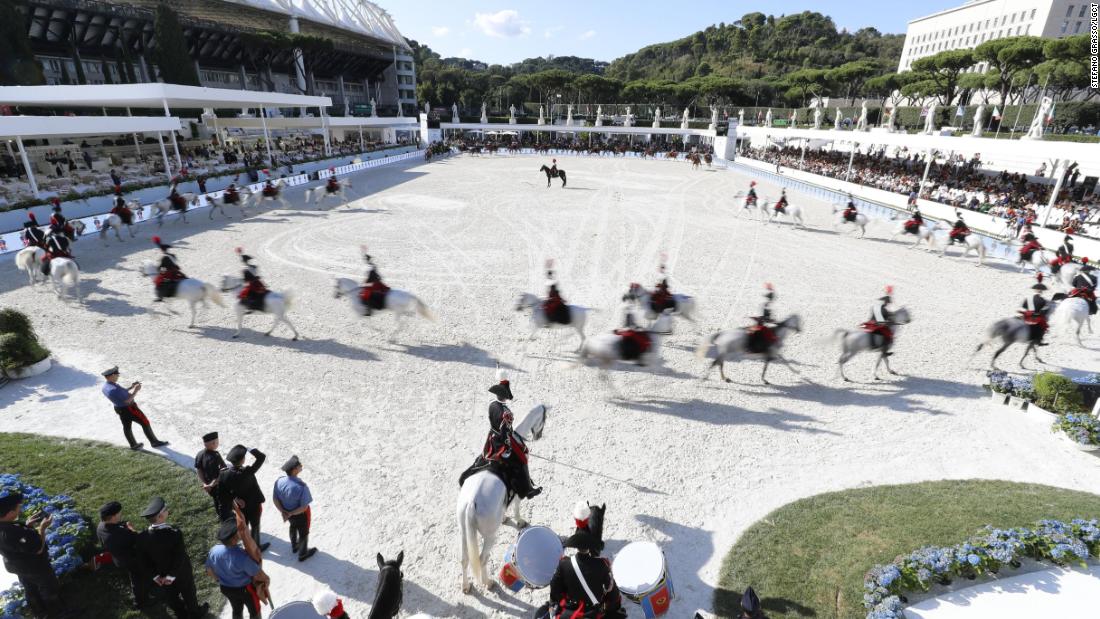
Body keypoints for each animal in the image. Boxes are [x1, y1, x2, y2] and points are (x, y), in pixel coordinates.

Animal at [455, 404, 545, 593]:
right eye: (543, 418)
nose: (538, 436)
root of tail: (471, 503)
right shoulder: (518, 491)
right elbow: (517, 505)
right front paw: (519, 521)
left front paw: (504, 517)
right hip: (490, 536)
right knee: (482, 558)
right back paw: (488, 582)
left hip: (464, 533)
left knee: (465, 559)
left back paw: (466, 586)